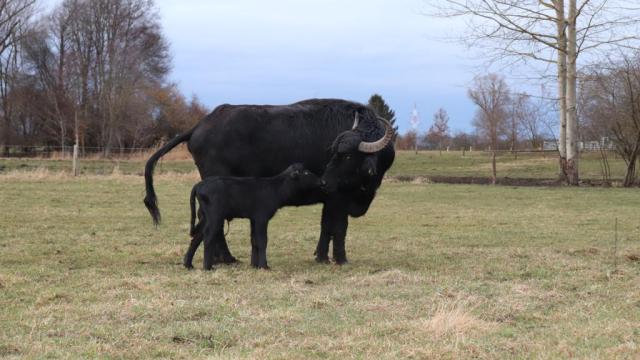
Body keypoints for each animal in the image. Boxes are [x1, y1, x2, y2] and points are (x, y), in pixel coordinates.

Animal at [189, 163, 322, 270]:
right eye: (306, 172)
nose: (322, 182)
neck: (275, 189)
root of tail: (199, 185)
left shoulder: (253, 219)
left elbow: (254, 240)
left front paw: (254, 265)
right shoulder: (261, 218)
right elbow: (262, 240)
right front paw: (264, 265)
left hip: (205, 217)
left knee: (197, 236)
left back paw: (188, 264)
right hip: (214, 216)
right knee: (208, 237)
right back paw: (207, 267)